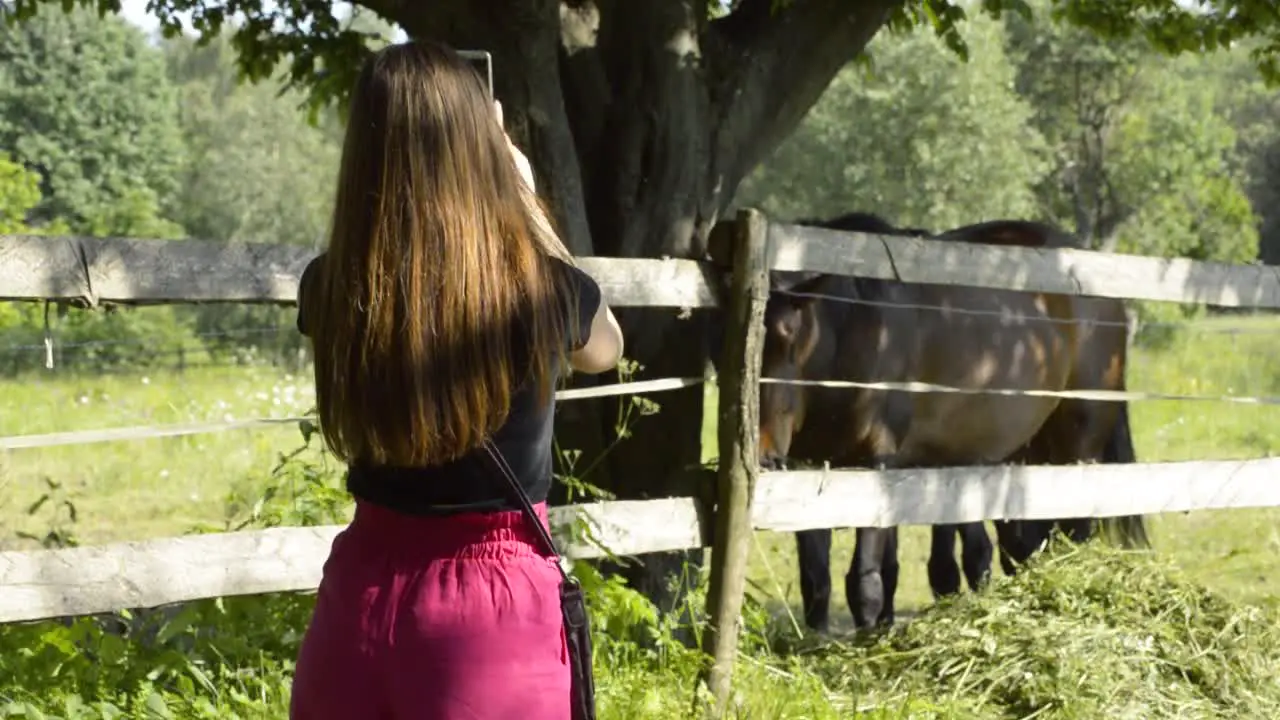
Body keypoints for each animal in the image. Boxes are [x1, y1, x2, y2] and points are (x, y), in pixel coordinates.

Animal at [757, 211, 1152, 627]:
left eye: (790, 335)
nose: (764, 454)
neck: (855, 327)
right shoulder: (814, 469)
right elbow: (821, 580)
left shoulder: (877, 464)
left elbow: (866, 584)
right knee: (1025, 545)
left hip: (1076, 447)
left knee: (1073, 532)